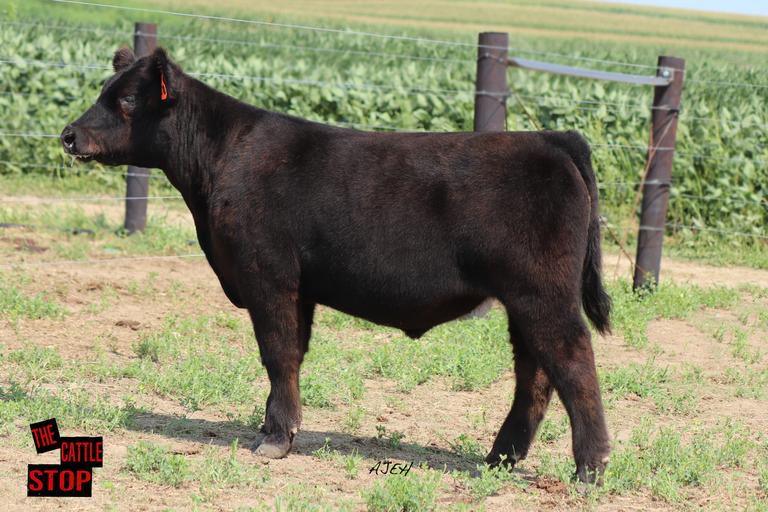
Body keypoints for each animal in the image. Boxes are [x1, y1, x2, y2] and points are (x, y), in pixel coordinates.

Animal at [61, 47, 612, 484]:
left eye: (127, 101)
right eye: (105, 91)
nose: (68, 135)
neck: (219, 162)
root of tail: (549, 138)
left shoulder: (268, 276)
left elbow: (278, 353)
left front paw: (274, 439)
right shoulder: (298, 288)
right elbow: (293, 354)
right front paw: (275, 428)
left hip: (542, 293)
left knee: (572, 361)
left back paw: (590, 468)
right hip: (523, 300)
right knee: (535, 373)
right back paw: (500, 457)